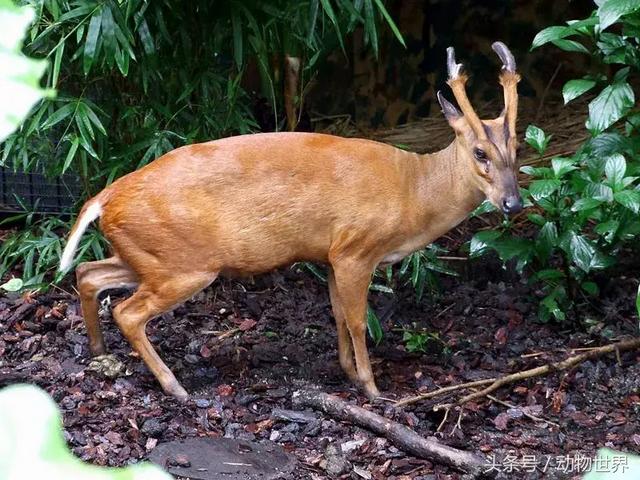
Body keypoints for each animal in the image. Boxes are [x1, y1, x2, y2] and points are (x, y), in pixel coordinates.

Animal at [58, 43, 520, 400]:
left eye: (518, 147)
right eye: (479, 152)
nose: (513, 202)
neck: (414, 190)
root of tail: (105, 198)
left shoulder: (332, 255)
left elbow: (337, 313)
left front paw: (348, 373)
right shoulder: (356, 248)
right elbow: (357, 319)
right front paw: (373, 389)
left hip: (148, 256)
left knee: (88, 273)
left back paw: (99, 351)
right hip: (183, 264)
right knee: (128, 312)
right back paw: (175, 387)